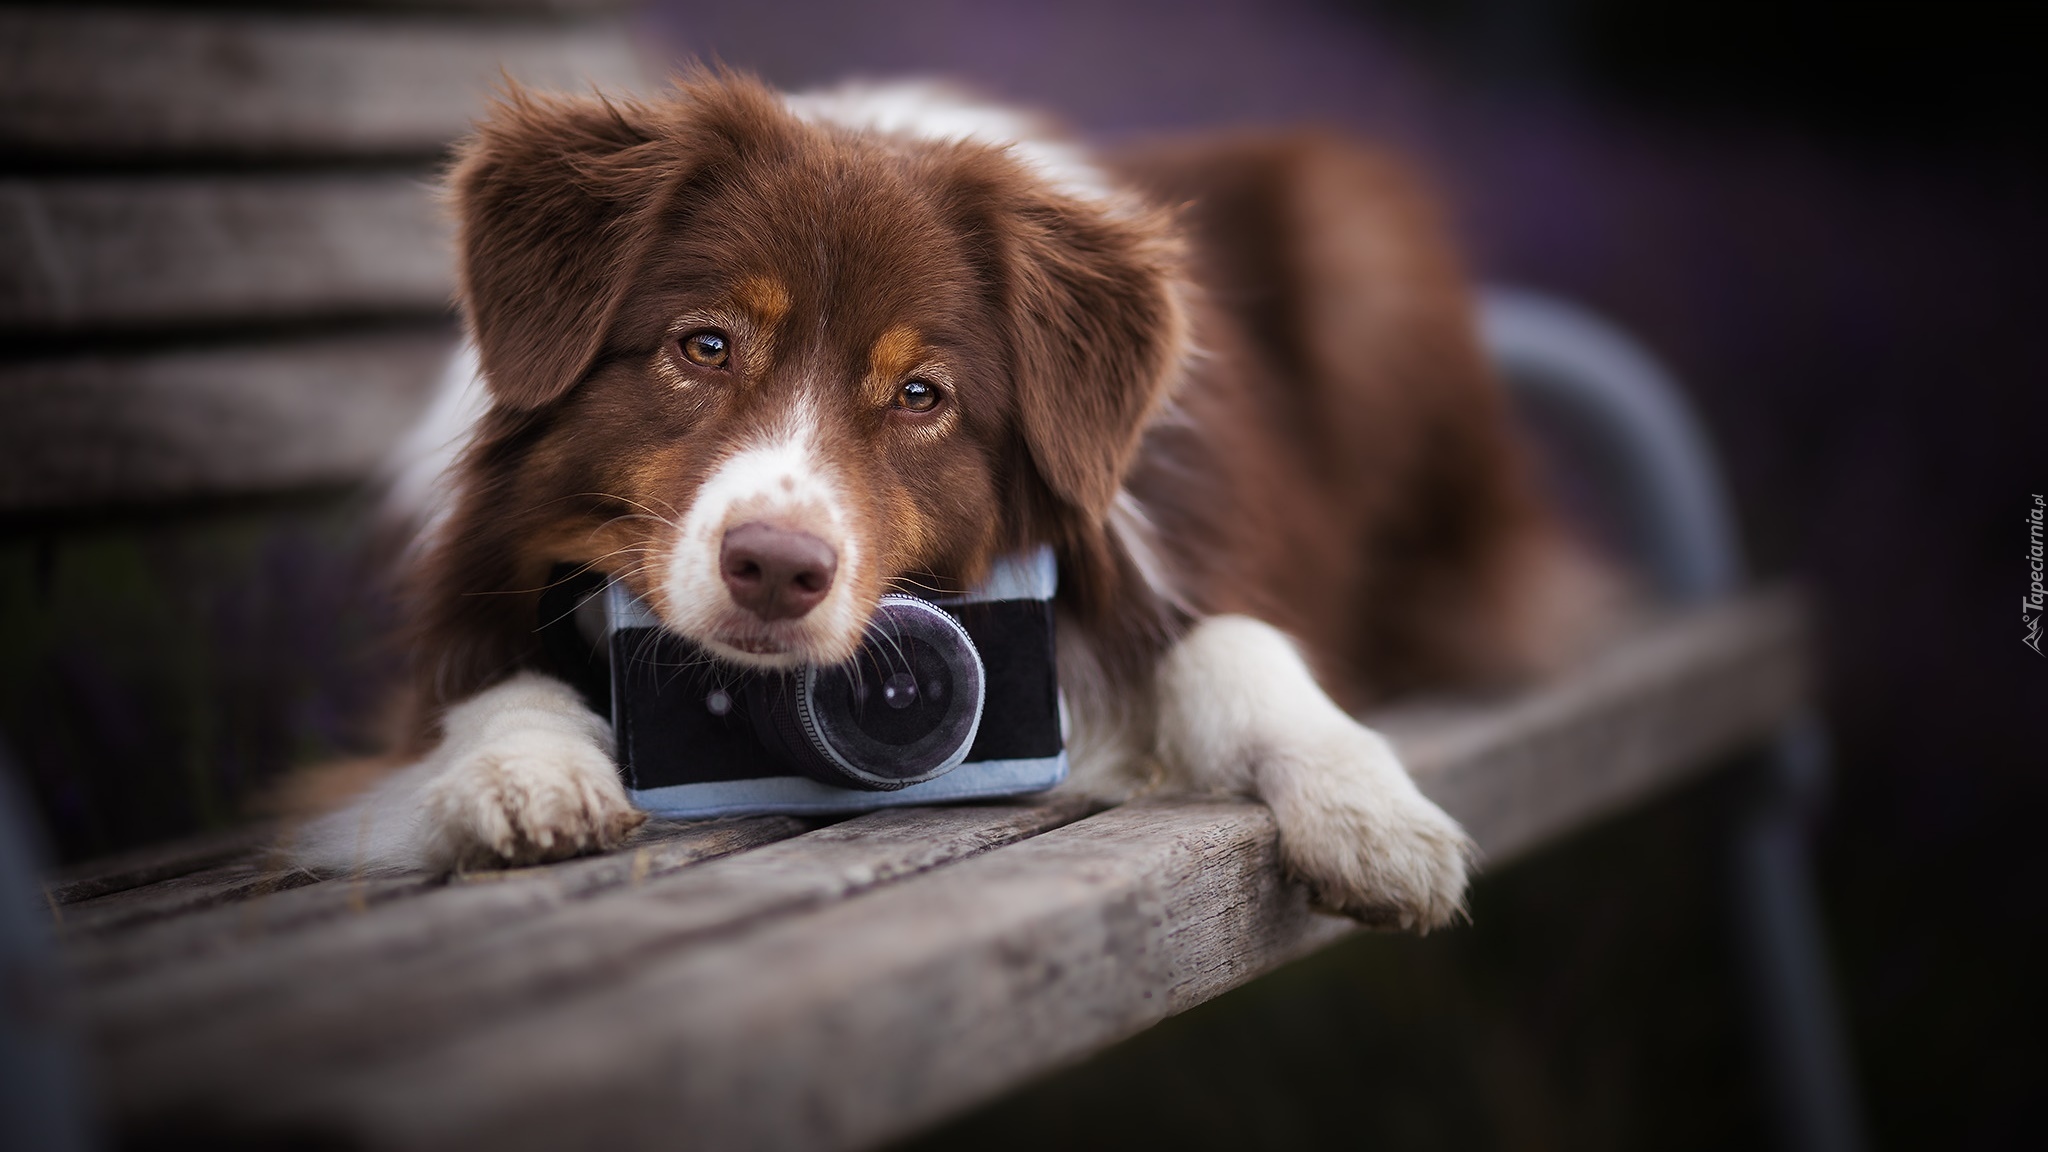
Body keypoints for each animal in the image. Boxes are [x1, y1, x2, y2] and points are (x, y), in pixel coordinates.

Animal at [292, 69, 1597, 934]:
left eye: (920, 395)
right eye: (704, 345)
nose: (776, 567)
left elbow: (1235, 646)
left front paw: (1370, 813)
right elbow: (477, 693)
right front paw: (527, 772)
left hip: (1357, 240)